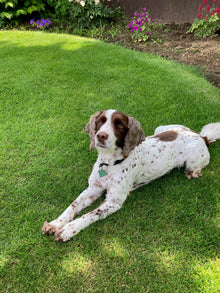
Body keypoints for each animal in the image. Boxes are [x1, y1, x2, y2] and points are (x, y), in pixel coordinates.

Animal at [41, 108, 220, 241]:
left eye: (119, 124)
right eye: (100, 121)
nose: (100, 136)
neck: (109, 163)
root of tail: (201, 136)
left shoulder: (114, 201)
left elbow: (89, 215)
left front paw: (67, 230)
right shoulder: (93, 188)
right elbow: (73, 206)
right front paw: (55, 223)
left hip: (192, 162)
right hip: (161, 128)